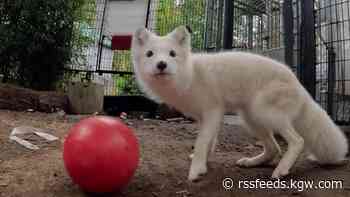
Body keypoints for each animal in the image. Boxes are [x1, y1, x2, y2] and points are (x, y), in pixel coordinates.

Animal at [131, 26, 348, 182]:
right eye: (150, 54)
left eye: (172, 54)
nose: (161, 65)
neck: (190, 74)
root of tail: (298, 83)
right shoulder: (206, 117)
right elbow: (210, 142)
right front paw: (203, 163)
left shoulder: (213, 111)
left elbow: (201, 142)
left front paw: (196, 171)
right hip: (251, 119)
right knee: (274, 149)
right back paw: (252, 162)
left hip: (265, 113)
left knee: (297, 141)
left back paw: (281, 170)